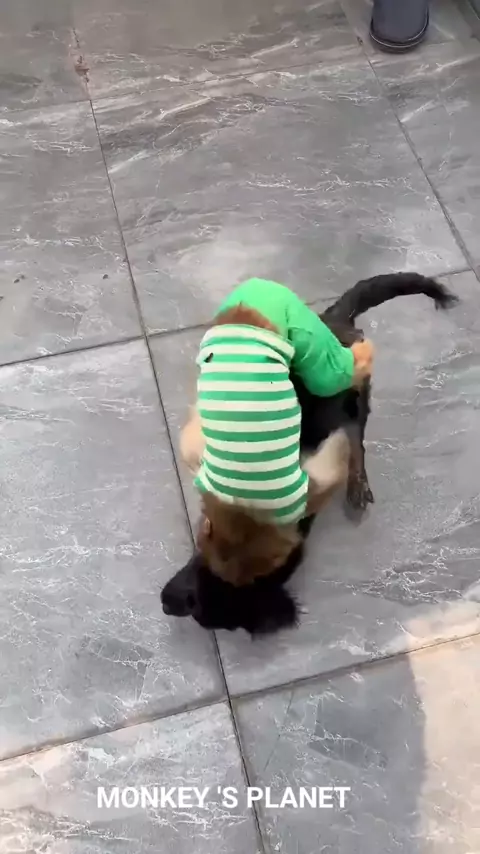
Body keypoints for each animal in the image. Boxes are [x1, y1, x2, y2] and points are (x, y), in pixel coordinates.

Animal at [161, 272, 458, 635]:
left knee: (352, 403)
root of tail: (332, 320)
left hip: (333, 373)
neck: (246, 515)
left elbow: (341, 452)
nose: (167, 603)